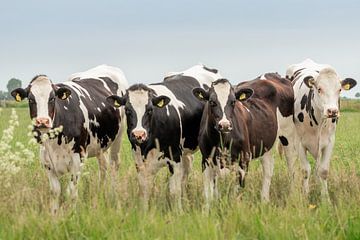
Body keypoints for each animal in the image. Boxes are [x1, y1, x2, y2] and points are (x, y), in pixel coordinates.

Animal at [10, 64, 128, 214]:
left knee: (114, 165)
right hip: (100, 144)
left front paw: (72, 214)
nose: (42, 121)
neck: (54, 142)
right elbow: (55, 191)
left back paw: (113, 194)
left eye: (52, 98)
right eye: (31, 100)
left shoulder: (78, 157)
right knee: (103, 166)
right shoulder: (46, 161)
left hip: (118, 136)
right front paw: (54, 215)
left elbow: (71, 191)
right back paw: (100, 191)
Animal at [105, 64, 221, 209]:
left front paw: (178, 211)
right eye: (127, 110)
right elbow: (144, 189)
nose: (139, 134)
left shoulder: (175, 156)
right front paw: (144, 211)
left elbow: (174, 191)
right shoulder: (138, 159)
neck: (149, 146)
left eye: (150, 110)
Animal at [193, 73, 294, 206]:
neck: (222, 141)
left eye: (233, 102)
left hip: (288, 135)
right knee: (268, 169)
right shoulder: (206, 159)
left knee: (291, 165)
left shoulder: (244, 158)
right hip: (266, 144)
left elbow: (237, 191)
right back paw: (264, 199)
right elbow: (209, 194)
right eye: (212, 102)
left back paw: (294, 194)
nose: (224, 125)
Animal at [278, 58, 356, 199]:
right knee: (291, 165)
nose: (332, 111)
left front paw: (325, 198)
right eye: (319, 89)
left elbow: (323, 170)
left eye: (339, 90)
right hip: (287, 140)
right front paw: (305, 194)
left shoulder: (330, 141)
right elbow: (305, 170)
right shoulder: (299, 143)